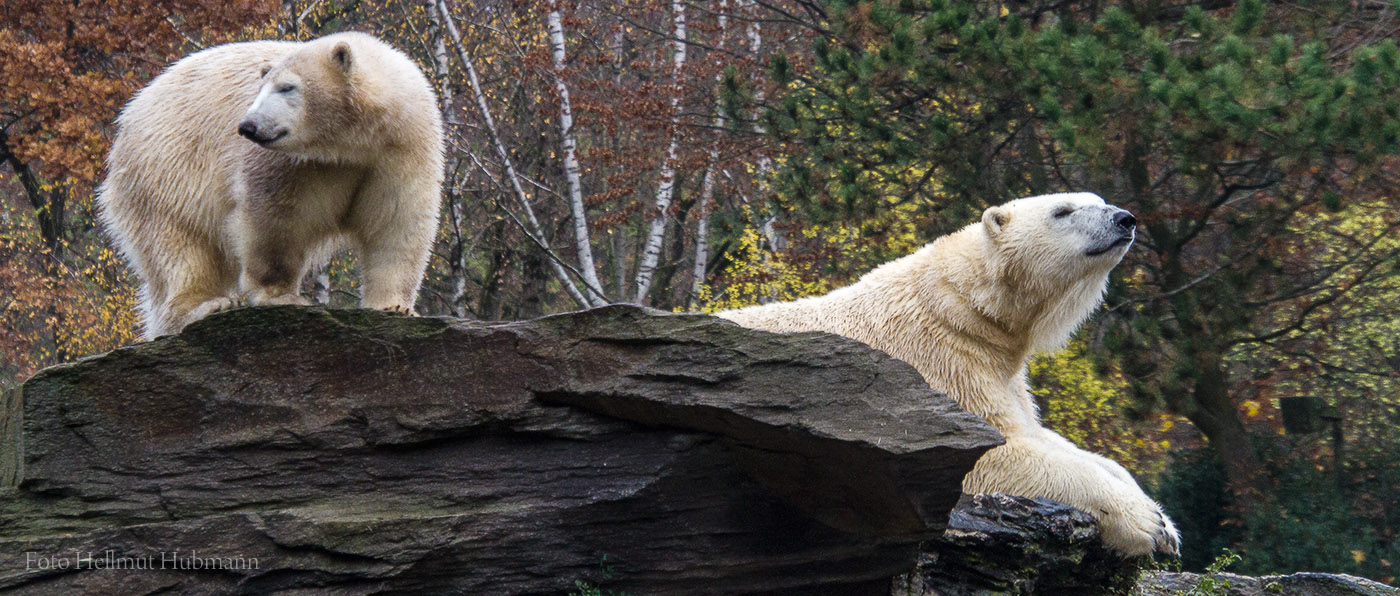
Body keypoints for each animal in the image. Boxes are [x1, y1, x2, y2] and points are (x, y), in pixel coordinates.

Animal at [722, 193, 1181, 556]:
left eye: (1099, 199)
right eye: (1063, 210)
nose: (1124, 218)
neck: (960, 305)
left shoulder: (997, 370)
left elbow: (1043, 437)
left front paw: (1165, 522)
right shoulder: (937, 363)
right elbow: (987, 455)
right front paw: (1143, 523)